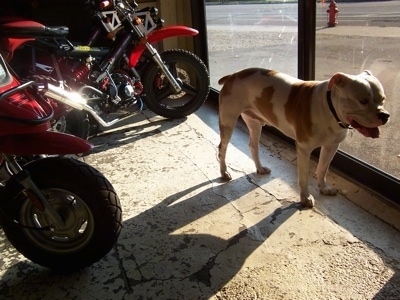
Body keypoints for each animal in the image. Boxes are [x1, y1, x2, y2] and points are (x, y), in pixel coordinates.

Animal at [217, 69, 390, 207]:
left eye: (383, 99)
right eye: (363, 101)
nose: (385, 115)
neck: (330, 109)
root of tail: (233, 75)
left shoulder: (332, 146)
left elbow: (322, 168)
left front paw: (323, 188)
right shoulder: (304, 149)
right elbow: (304, 177)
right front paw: (305, 198)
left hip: (255, 124)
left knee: (253, 146)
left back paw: (259, 168)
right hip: (228, 122)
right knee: (222, 149)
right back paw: (224, 172)